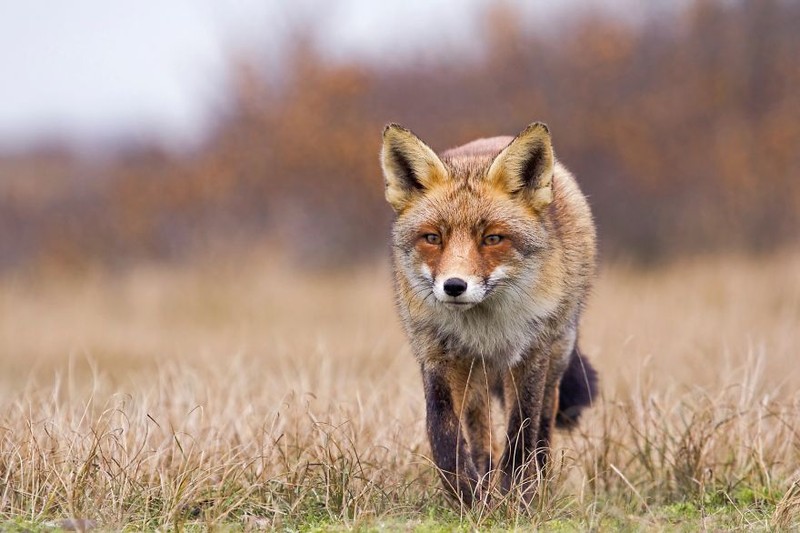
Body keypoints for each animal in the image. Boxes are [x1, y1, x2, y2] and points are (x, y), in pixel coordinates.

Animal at [382, 120, 600, 502]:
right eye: (433, 238)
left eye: (493, 239)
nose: (454, 286)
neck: (485, 329)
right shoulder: (437, 356)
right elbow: (441, 431)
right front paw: (468, 496)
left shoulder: (530, 356)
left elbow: (521, 431)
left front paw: (515, 497)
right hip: (476, 377)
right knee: (480, 432)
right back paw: (484, 478)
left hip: (557, 353)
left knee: (543, 423)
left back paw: (537, 480)